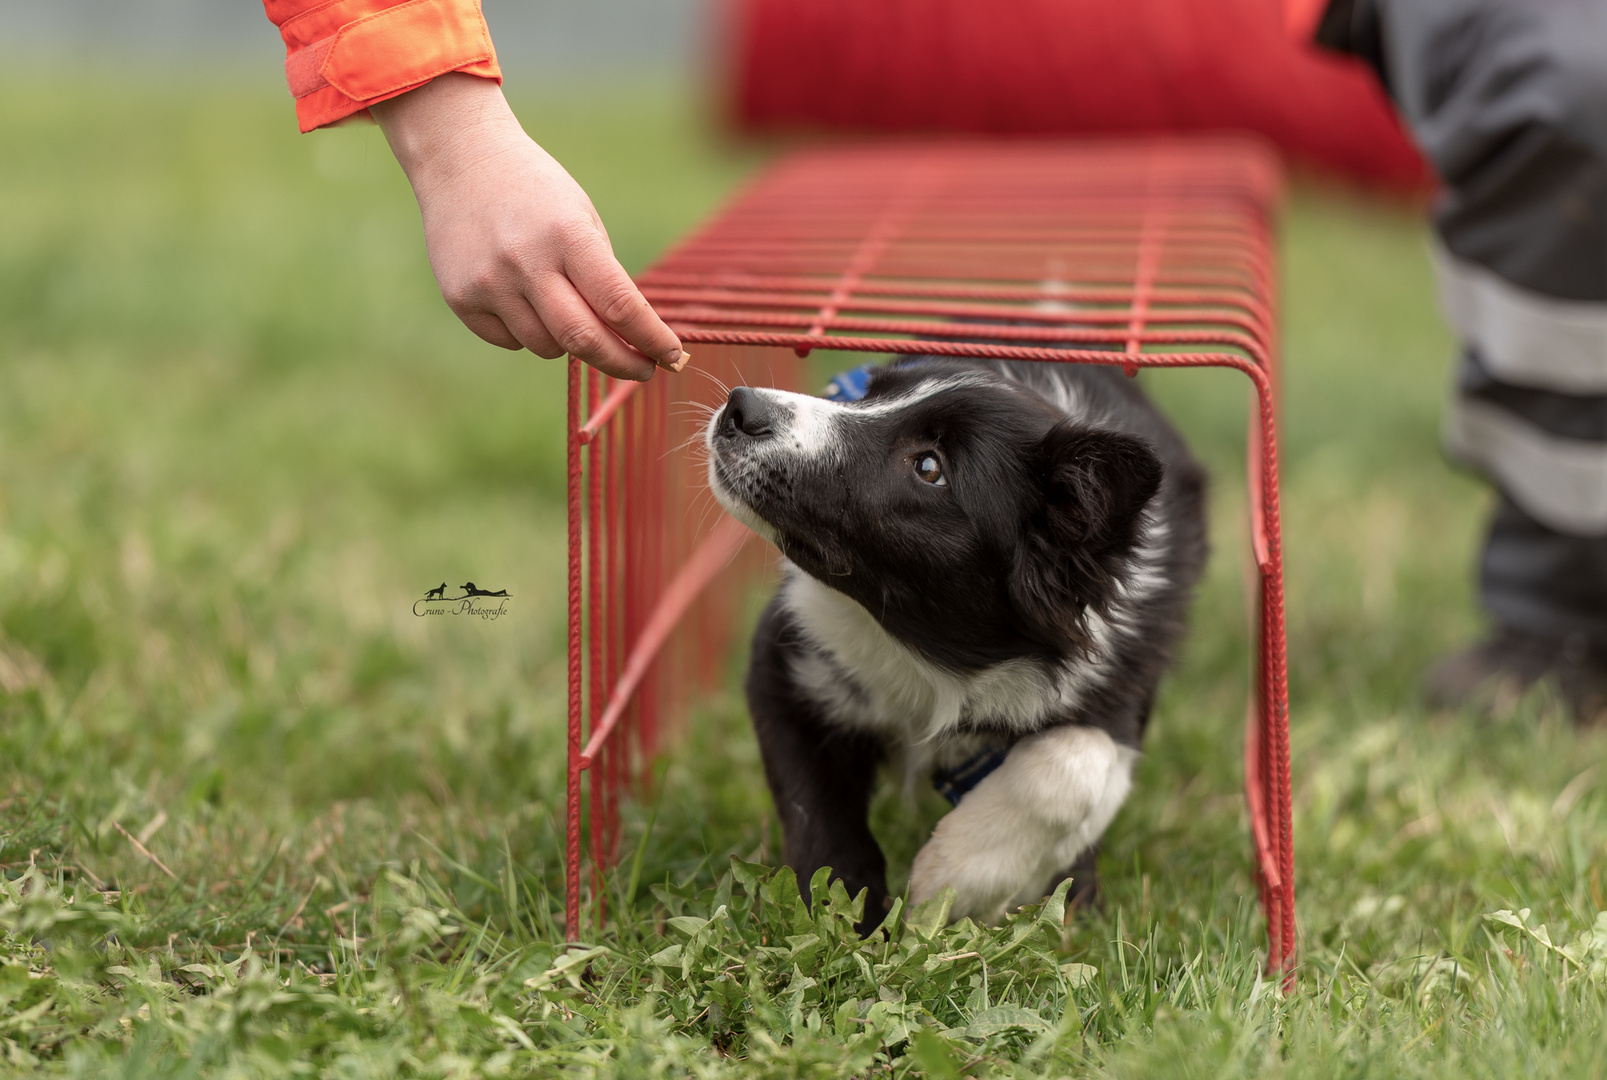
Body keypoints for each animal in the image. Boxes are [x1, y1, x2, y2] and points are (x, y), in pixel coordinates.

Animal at [703, 358, 1208, 925]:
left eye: (929, 467)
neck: (928, 648)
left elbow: (1084, 760)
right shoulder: (786, 655)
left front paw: (955, 881)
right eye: (868, 393)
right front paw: (844, 914)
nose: (741, 406)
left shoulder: (1120, 673)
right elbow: (816, 810)